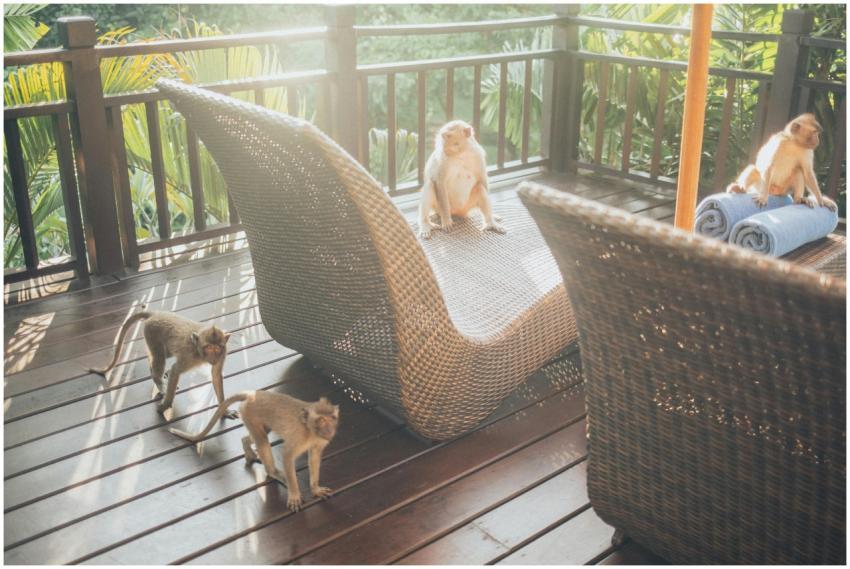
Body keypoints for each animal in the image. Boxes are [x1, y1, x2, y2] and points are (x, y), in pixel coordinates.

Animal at [89, 307, 235, 418]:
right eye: (209, 347)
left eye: (217, 348)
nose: (214, 357)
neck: (199, 351)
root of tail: (155, 313)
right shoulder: (189, 357)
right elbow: (176, 370)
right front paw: (165, 405)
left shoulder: (223, 354)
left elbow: (216, 376)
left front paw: (224, 410)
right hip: (151, 332)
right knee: (159, 356)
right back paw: (158, 381)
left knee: (161, 355)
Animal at [170, 391, 339, 511]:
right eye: (322, 420)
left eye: (332, 418)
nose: (329, 430)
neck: (310, 430)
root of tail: (252, 394)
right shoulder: (298, 437)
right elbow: (287, 456)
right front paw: (294, 494)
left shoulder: (319, 441)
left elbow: (315, 457)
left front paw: (315, 489)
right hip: (249, 413)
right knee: (262, 441)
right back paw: (273, 472)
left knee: (260, 434)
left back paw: (246, 445)